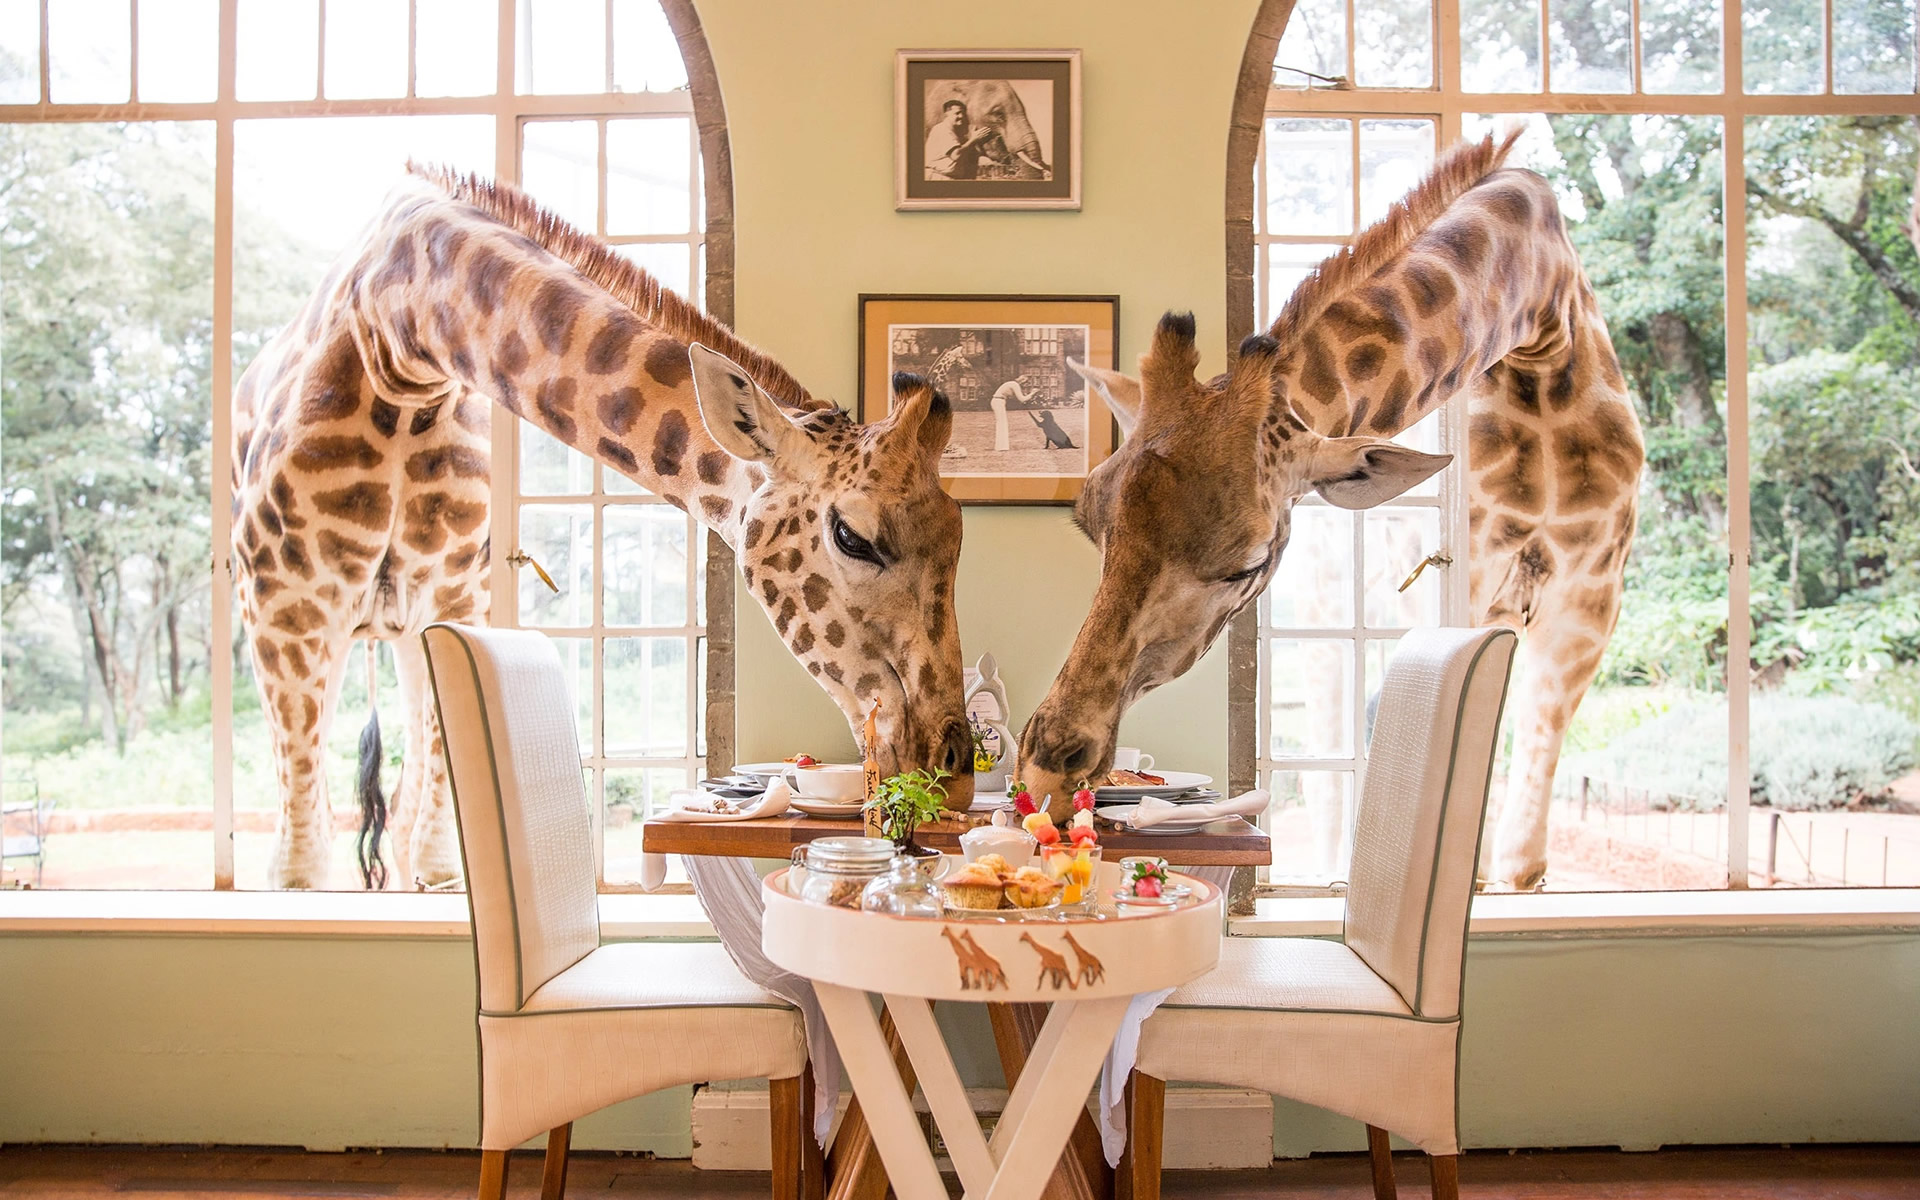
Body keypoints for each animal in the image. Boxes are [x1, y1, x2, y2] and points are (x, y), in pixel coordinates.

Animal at [231, 165, 975, 890]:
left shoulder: (451, 602)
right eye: (852, 537)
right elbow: (299, 871)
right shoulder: (285, 610)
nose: (956, 772)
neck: (400, 338)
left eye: (958, 539)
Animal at [1019, 131, 1643, 890]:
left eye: (1249, 562)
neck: (1541, 327)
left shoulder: (1586, 604)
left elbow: (1520, 854)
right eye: (1091, 526)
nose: (1046, 771)